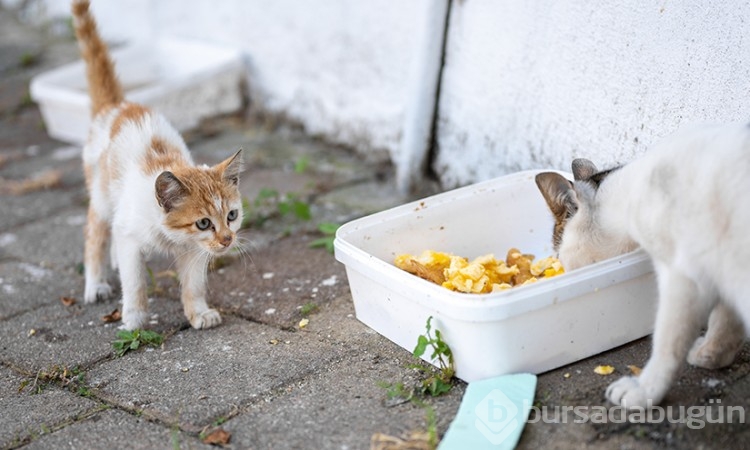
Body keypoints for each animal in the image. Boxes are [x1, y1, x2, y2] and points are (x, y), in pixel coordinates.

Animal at [73, 0, 244, 330]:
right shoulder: (132, 237)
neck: (170, 237)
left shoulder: (195, 251)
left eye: (232, 215)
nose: (227, 239)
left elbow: (194, 284)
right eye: (204, 223)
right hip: (101, 195)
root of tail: (118, 105)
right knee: (94, 236)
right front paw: (134, 320)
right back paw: (95, 283)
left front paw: (199, 313)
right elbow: (134, 281)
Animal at [536, 123, 748, 408]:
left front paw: (645, 390)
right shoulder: (721, 267)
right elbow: (726, 319)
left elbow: (669, 340)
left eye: (559, 255)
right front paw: (712, 354)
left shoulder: (684, 278)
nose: (561, 272)